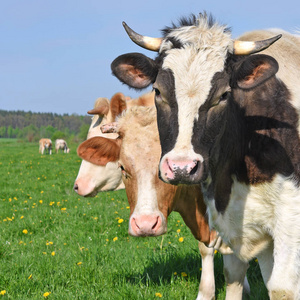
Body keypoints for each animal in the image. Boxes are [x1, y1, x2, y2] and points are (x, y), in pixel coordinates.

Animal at [110, 12, 300, 298]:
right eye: (158, 91)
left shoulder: (290, 217)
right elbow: (234, 276)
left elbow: (281, 288)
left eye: (223, 95)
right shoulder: (235, 221)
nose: (181, 168)